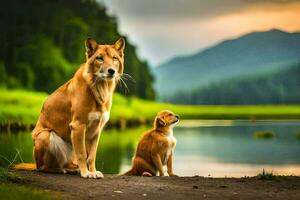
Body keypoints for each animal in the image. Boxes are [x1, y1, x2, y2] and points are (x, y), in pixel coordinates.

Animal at [30, 37, 124, 178]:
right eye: (99, 58)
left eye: (115, 58)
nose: (111, 71)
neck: (99, 88)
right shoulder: (78, 125)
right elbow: (82, 154)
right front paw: (86, 173)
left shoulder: (96, 130)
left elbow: (91, 156)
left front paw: (93, 171)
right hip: (47, 136)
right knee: (43, 167)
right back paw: (60, 170)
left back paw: (72, 169)